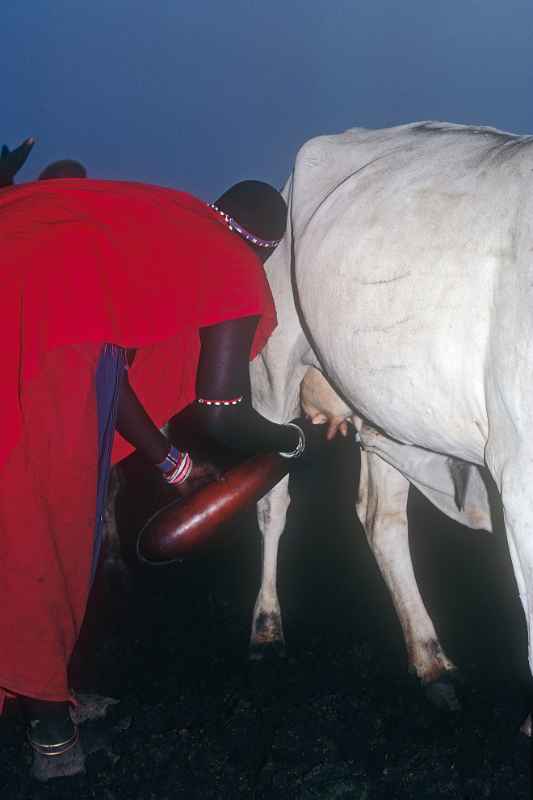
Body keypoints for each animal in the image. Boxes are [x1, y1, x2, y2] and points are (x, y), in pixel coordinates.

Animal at [249, 120, 532, 724]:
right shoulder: (519, 469)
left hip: (383, 411)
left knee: (381, 520)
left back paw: (431, 662)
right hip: (273, 373)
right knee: (272, 504)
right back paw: (266, 629)